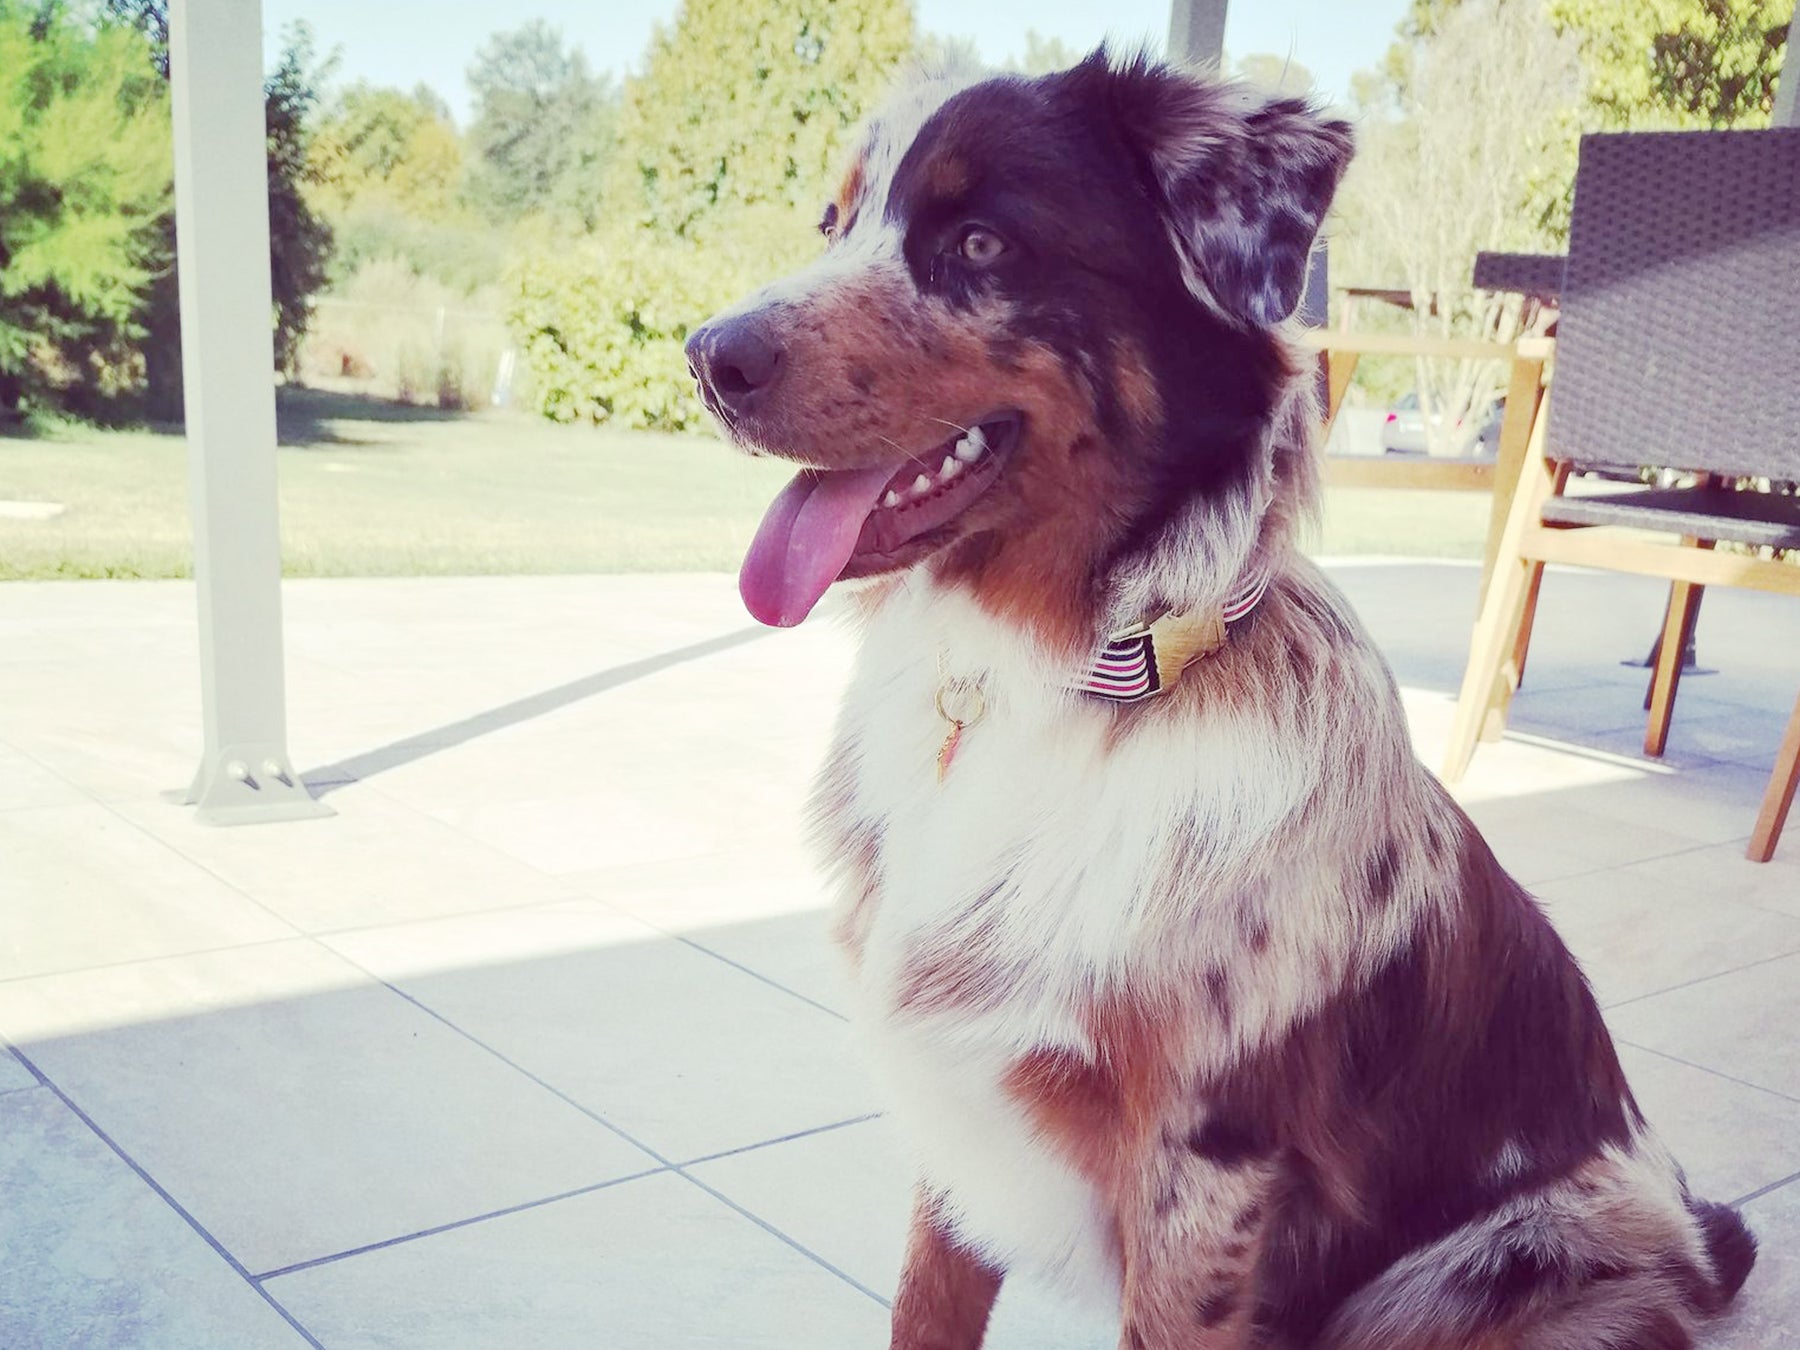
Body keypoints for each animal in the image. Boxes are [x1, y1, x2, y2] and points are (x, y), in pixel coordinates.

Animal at [684, 50, 1756, 1350]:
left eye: (983, 243)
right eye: (833, 225)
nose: (708, 356)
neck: (1063, 681)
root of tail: (1700, 1241)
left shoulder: (1205, 1177)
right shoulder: (963, 1119)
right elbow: (924, 1312)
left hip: (1480, 1262)